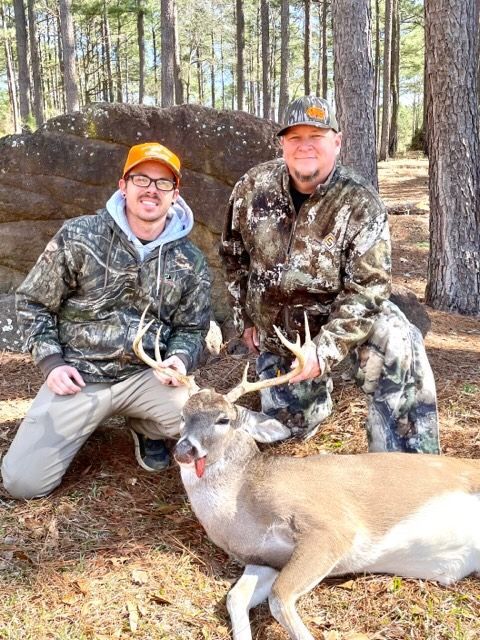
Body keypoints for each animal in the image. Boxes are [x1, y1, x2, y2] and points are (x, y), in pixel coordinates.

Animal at [134, 307, 480, 640]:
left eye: (223, 419)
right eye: (183, 415)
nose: (184, 449)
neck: (241, 505)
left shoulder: (331, 527)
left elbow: (279, 599)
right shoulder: (265, 559)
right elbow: (235, 598)